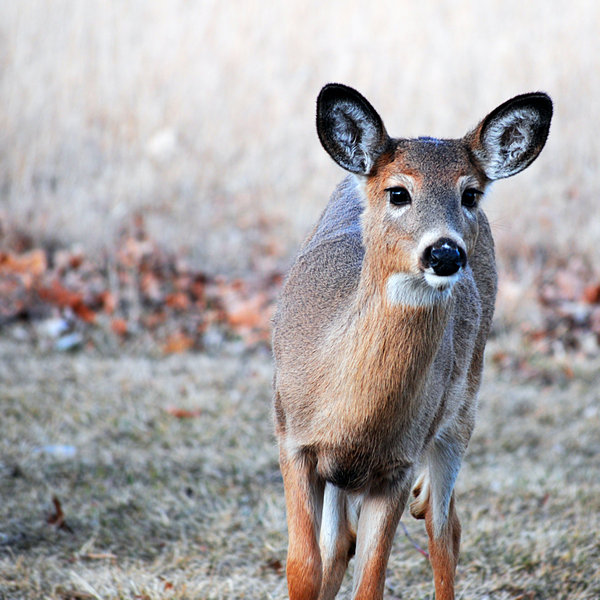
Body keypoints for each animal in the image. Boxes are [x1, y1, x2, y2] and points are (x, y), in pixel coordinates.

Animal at [272, 84, 552, 600]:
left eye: (470, 192)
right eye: (398, 192)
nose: (445, 252)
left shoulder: (399, 464)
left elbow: (371, 583)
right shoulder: (291, 435)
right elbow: (303, 567)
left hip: (461, 409)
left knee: (445, 531)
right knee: (341, 542)